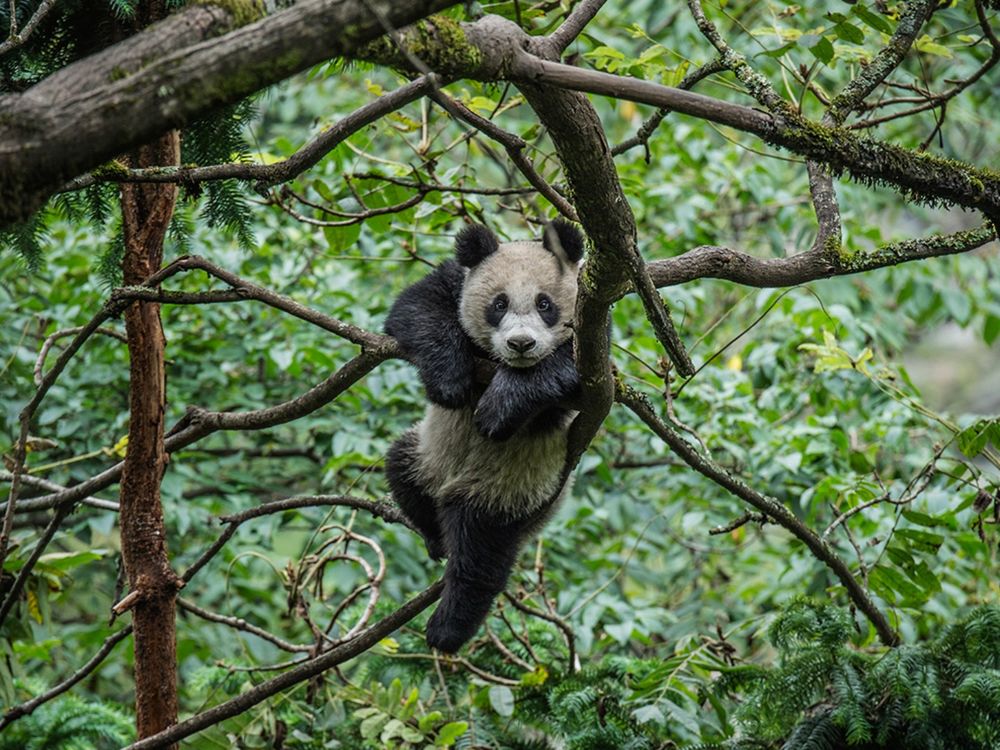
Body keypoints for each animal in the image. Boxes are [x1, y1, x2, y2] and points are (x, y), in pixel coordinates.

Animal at [382, 217, 584, 652]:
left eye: (545, 305)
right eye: (499, 304)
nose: (521, 344)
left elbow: (564, 371)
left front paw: (498, 408)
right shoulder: (455, 283)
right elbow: (416, 307)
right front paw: (449, 381)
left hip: (507, 487)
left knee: (480, 553)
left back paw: (447, 627)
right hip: (427, 452)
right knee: (401, 467)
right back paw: (435, 536)